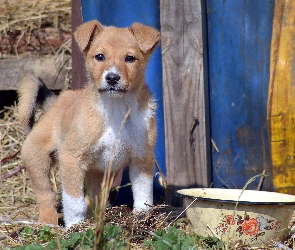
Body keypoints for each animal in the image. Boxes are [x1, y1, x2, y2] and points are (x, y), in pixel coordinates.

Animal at [18, 20, 161, 228]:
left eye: (130, 58)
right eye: (100, 56)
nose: (112, 78)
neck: (115, 108)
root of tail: (58, 100)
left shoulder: (141, 158)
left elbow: (144, 194)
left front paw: (142, 216)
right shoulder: (71, 158)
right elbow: (73, 202)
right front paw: (75, 227)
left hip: (103, 175)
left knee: (93, 199)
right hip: (36, 159)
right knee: (46, 195)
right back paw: (48, 222)